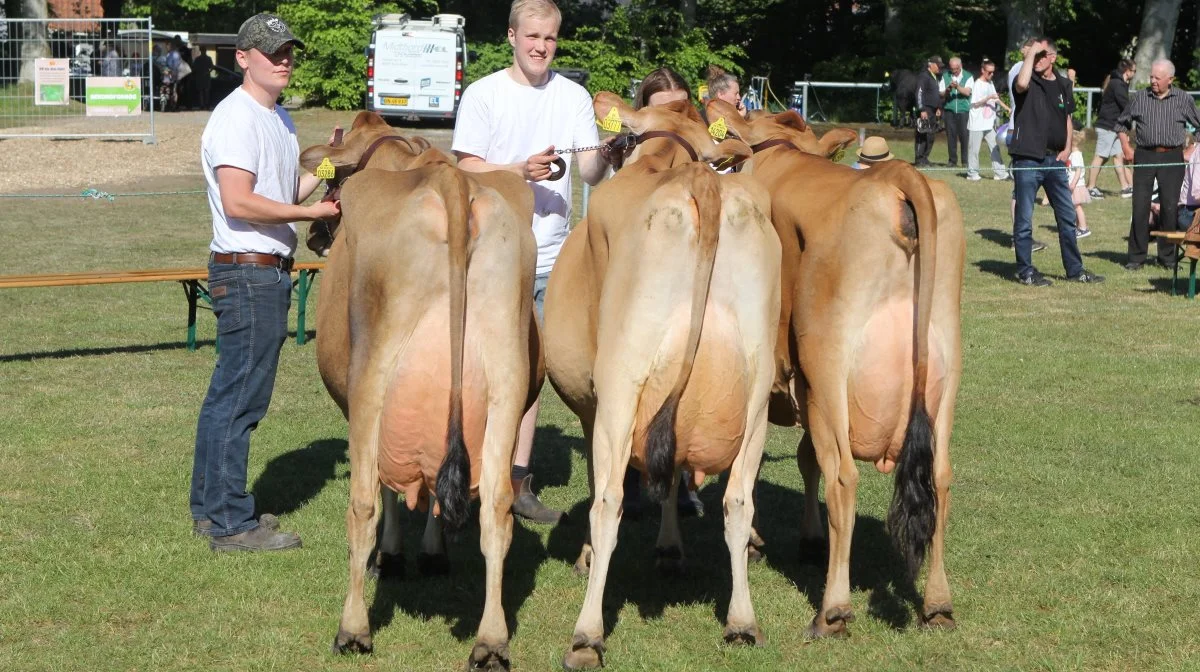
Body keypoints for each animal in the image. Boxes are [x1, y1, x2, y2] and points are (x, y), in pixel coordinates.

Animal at [297, 112, 542, 667]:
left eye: (332, 188)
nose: (315, 235)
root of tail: (452, 184)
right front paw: (432, 553)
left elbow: (388, 491)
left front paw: (392, 554)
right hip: (506, 381)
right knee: (496, 508)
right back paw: (490, 641)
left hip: (372, 377)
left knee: (362, 502)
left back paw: (353, 629)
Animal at [549, 91, 782, 667]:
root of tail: (702, 183)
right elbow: (674, 469)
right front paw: (671, 549)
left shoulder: (593, 406)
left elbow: (598, 486)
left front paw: (588, 557)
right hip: (756, 397)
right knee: (738, 501)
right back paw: (742, 621)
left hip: (623, 382)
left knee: (608, 502)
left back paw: (586, 636)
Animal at [705, 99, 969, 633]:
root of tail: (897, 177)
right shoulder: (803, 388)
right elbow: (804, 456)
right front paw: (808, 540)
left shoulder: (794, 381)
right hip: (946, 370)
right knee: (941, 474)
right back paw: (937, 603)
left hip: (829, 366)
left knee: (843, 477)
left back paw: (833, 609)